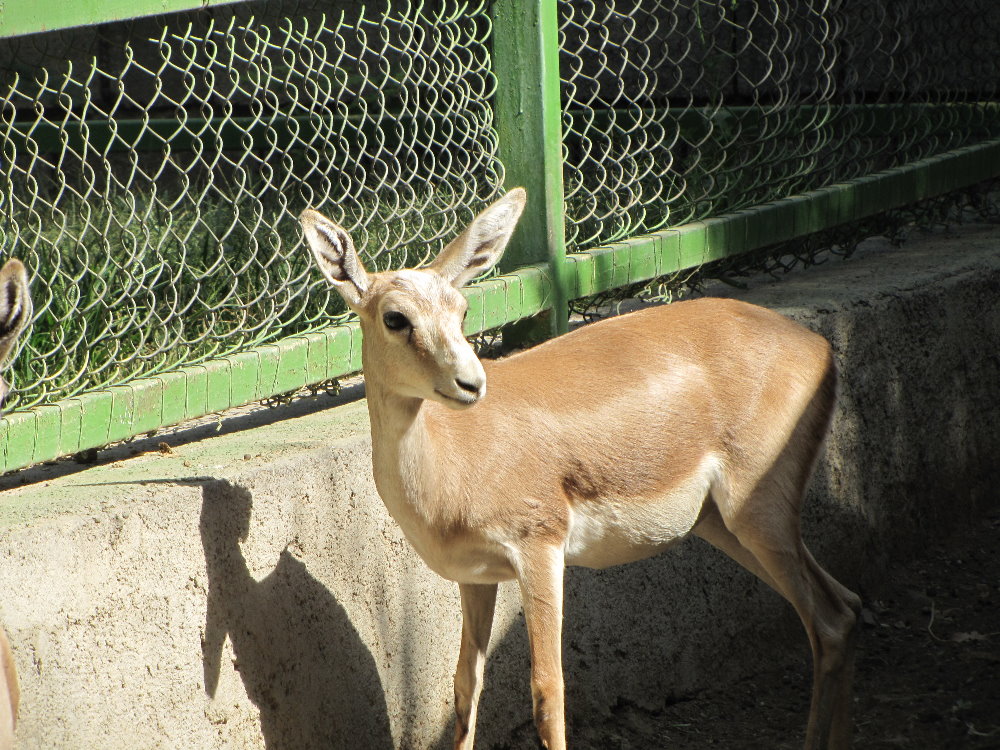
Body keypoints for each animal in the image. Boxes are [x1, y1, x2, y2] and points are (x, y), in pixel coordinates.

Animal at [300, 189, 861, 750]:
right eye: (395, 317)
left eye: (462, 310)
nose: (470, 383)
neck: (454, 459)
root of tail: (819, 348)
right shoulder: (475, 578)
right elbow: (464, 686)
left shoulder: (540, 548)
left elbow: (548, 691)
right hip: (722, 526)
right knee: (849, 605)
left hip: (757, 515)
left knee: (831, 621)